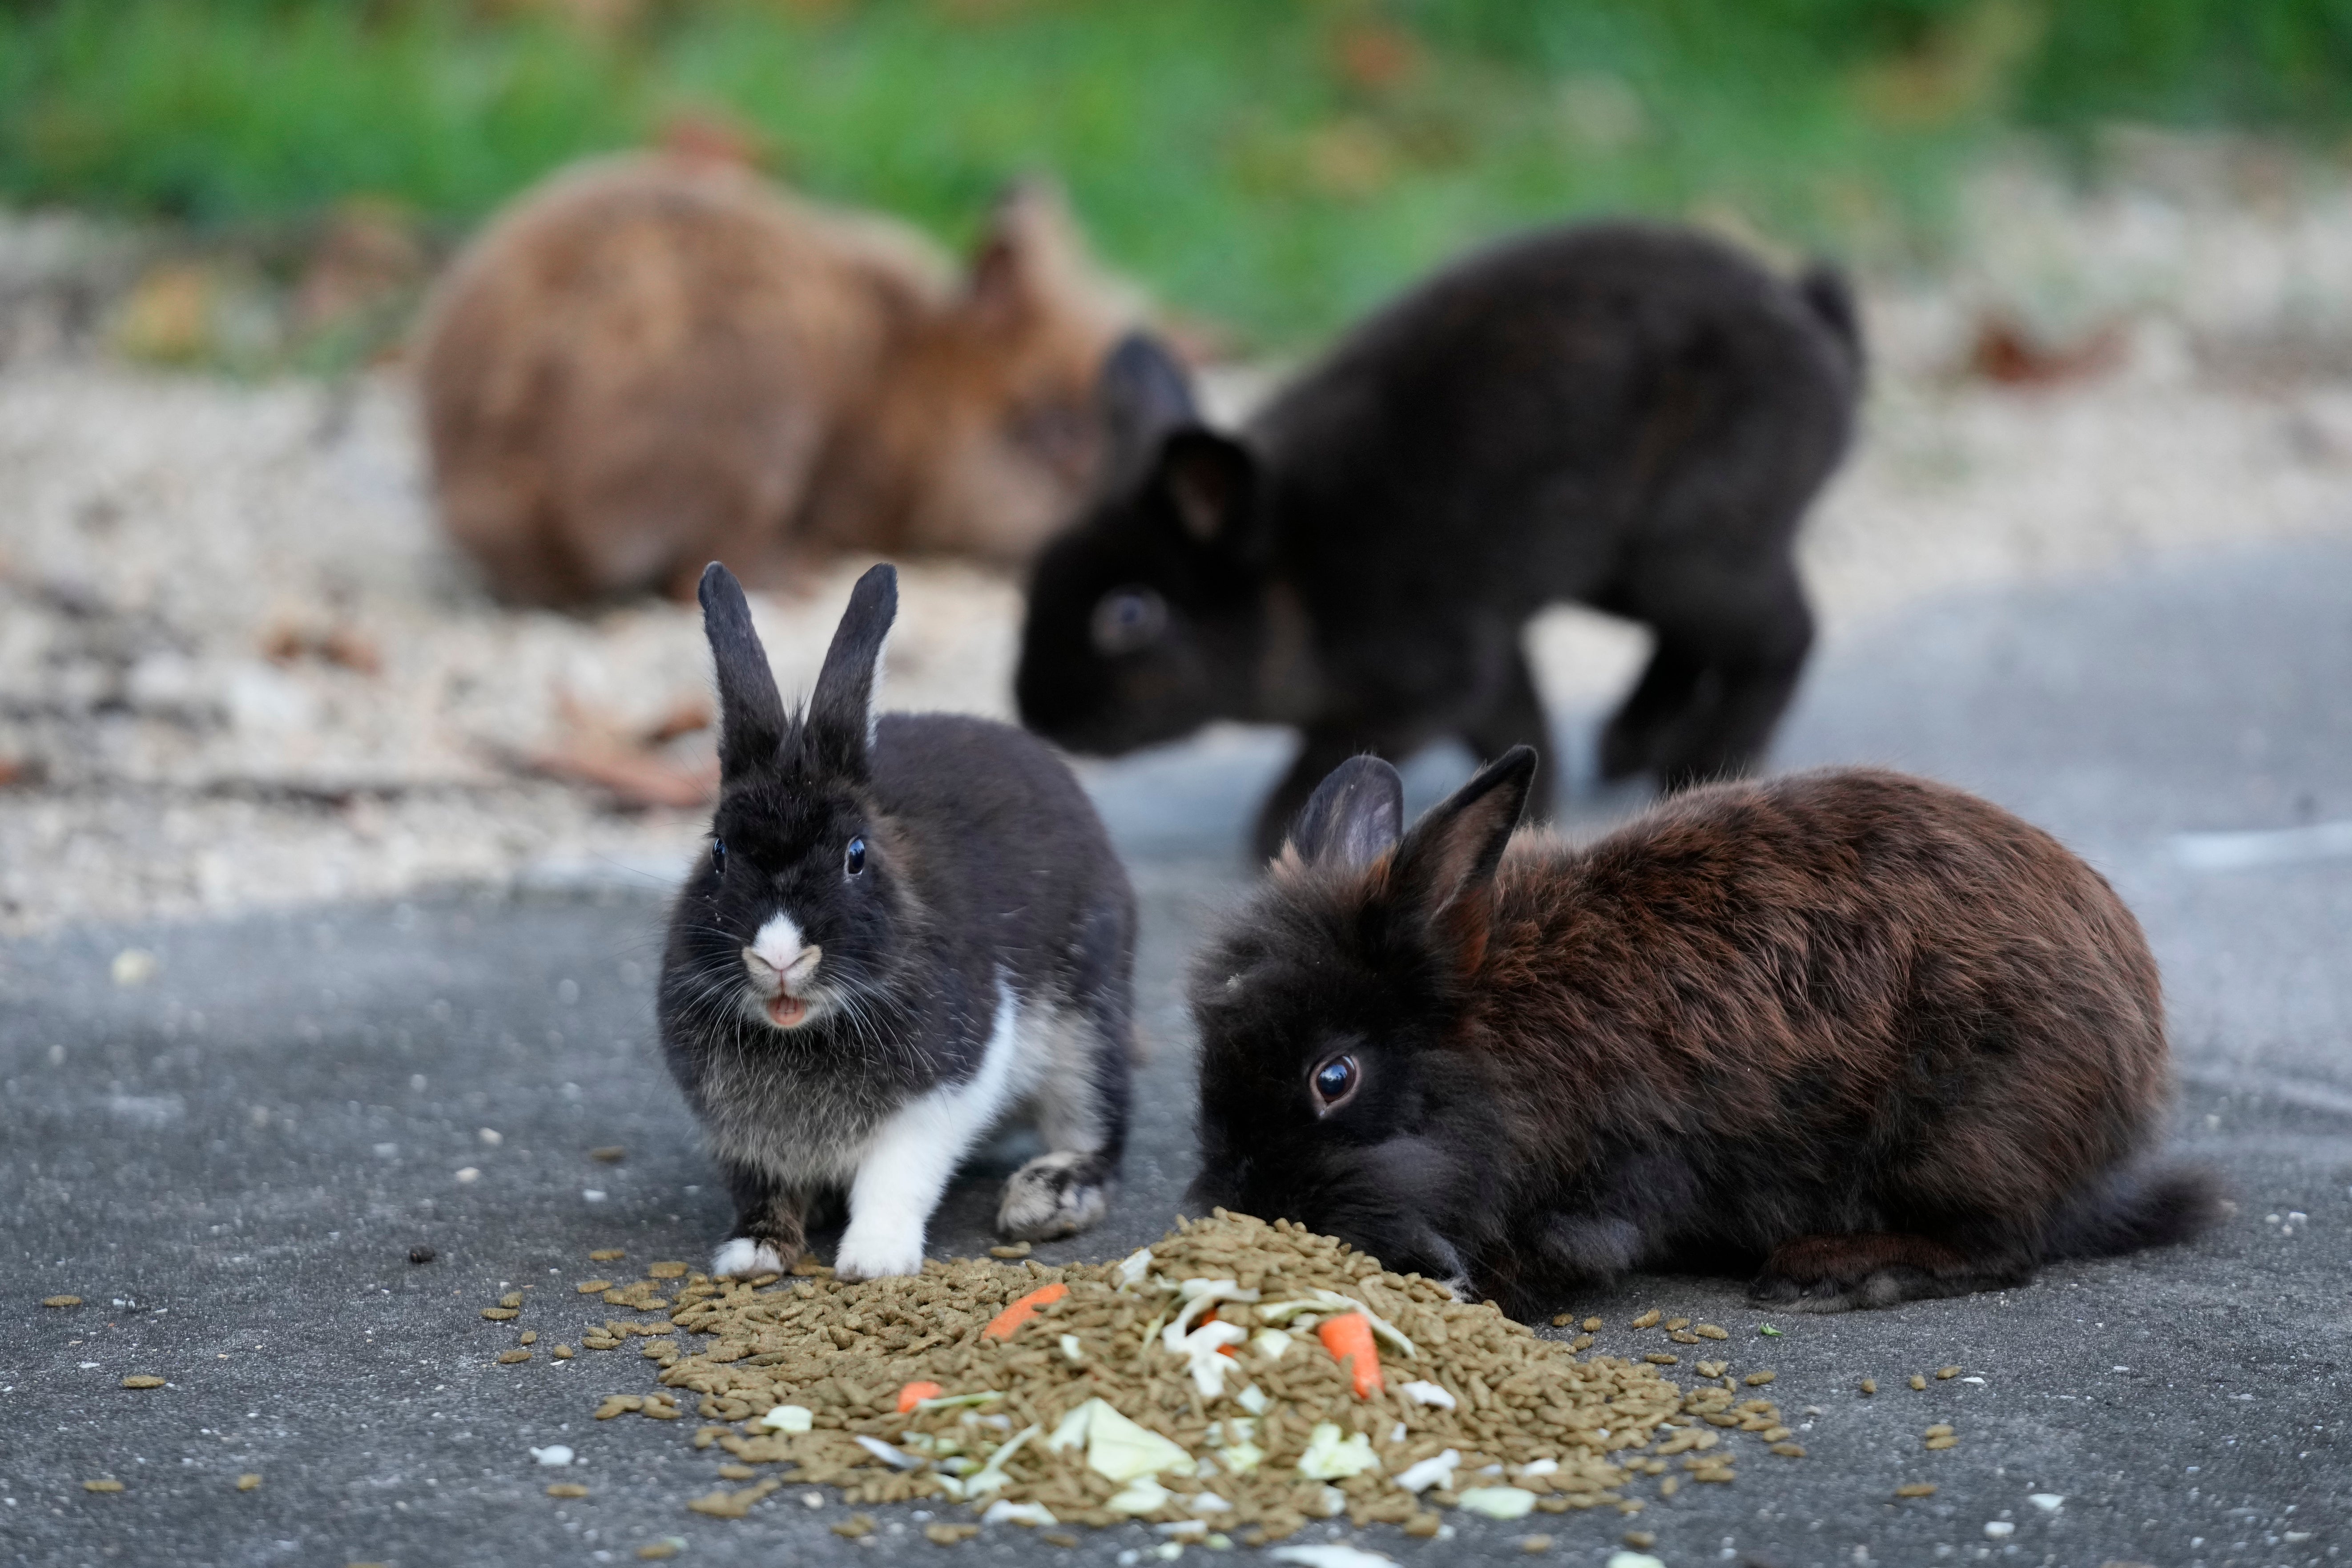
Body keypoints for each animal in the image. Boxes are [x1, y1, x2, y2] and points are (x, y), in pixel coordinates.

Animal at [658, 561, 1135, 1279]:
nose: (779, 956)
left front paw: (874, 1260)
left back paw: (1045, 1197)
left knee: (1099, 1128)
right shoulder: (740, 1132)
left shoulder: (946, 1089)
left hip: (1087, 1027)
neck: (806, 1030)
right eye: (717, 852)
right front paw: (753, 1254)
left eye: (856, 855)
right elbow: (763, 1186)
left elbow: (896, 1174)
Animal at [1016, 222, 1863, 862]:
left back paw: (1702, 764)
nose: (1037, 714)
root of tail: (1814, 338)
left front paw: (1276, 838)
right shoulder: (1488, 654)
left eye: (1129, 614)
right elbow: (1518, 724)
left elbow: (1336, 755)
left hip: (1687, 554)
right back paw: (1632, 745)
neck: (1291, 570)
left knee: (1785, 633)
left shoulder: (1428, 681)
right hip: (1627, 577)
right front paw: (1540, 811)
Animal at [1185, 748, 2220, 1318]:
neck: (1500, 1035)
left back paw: (1829, 1275)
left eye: (1333, 1078)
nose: (1233, 1206)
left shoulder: (1610, 1188)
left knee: (2002, 1245)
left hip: (1967, 1128)